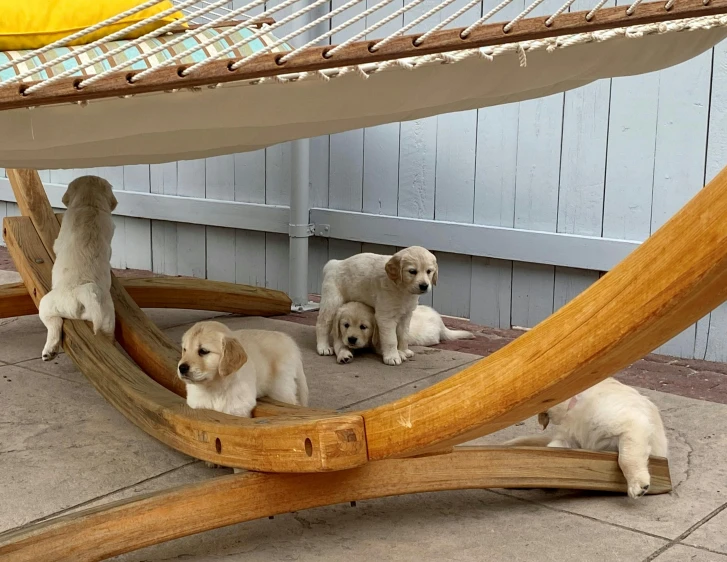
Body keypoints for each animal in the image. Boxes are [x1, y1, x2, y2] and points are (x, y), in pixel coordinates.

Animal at [38, 175, 117, 358]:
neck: (90, 206)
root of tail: (83, 292)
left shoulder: (60, 238)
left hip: (47, 304)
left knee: (54, 324)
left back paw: (49, 351)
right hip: (106, 320)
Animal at [181, 320, 310, 416]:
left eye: (203, 351)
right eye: (185, 350)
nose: (181, 368)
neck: (214, 387)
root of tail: (288, 340)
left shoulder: (239, 410)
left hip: (281, 389)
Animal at [332, 302, 478, 364]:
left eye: (363, 327)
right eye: (346, 325)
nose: (352, 339)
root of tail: (439, 319)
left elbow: (387, 346)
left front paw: (399, 354)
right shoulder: (340, 336)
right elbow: (341, 346)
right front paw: (344, 355)